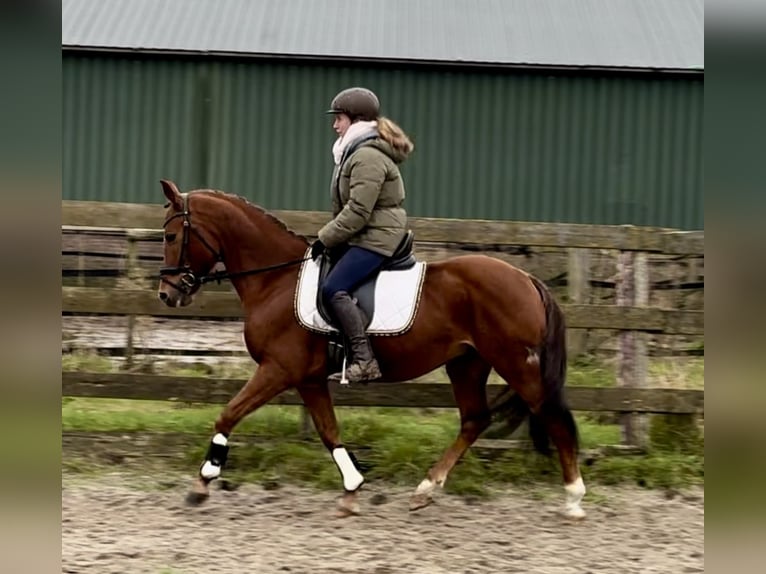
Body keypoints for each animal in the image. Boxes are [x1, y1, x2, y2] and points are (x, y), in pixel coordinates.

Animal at [156, 181, 588, 520]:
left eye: (172, 237)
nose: (167, 294)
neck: (275, 280)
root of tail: (527, 278)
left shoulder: (278, 369)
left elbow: (228, 414)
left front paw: (203, 480)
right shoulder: (309, 379)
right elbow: (329, 431)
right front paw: (352, 489)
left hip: (516, 363)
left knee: (551, 416)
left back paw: (573, 498)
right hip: (468, 363)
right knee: (474, 420)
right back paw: (425, 490)